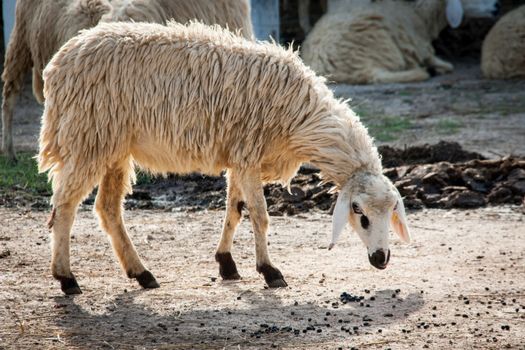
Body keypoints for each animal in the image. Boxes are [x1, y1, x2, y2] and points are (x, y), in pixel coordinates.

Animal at [39, 21, 412, 296]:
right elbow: (260, 215)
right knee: (65, 207)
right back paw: (67, 279)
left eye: (392, 210)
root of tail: (60, 61)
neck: (303, 118)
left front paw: (226, 263)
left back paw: (141, 273)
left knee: (108, 210)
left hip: (113, 148)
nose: (381, 259)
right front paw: (269, 271)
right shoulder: (248, 155)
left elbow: (235, 209)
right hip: (88, 138)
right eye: (358, 212)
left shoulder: (241, 157)